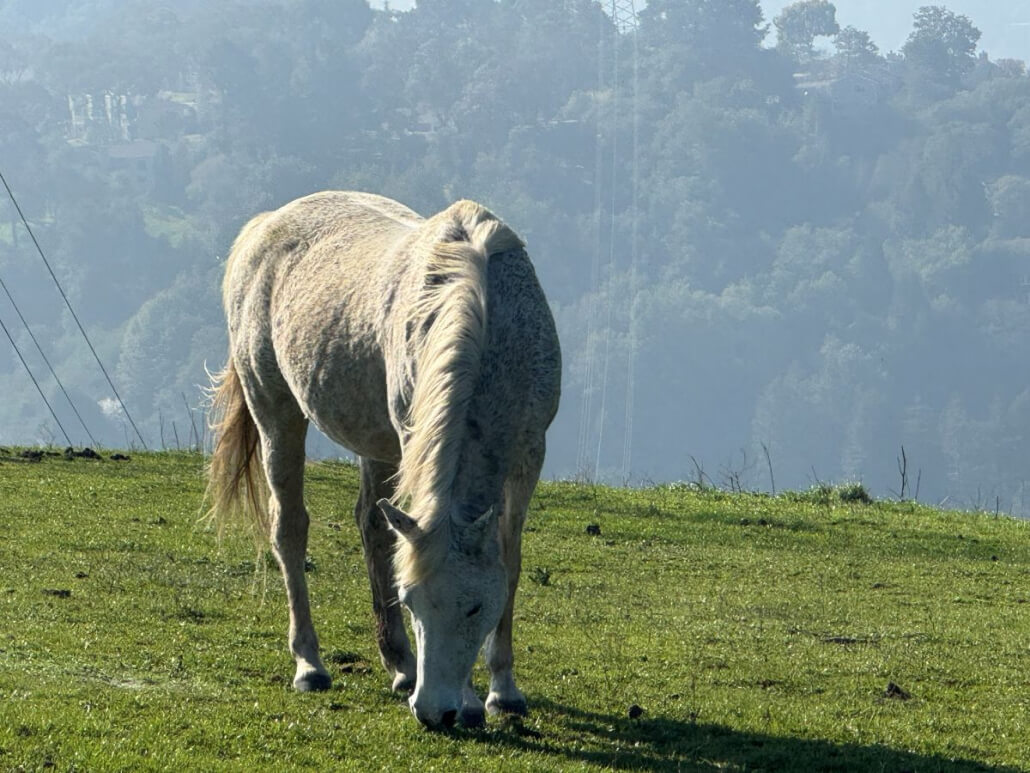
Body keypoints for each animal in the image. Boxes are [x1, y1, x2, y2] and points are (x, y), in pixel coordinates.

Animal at [206, 191, 561, 729]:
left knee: (372, 527)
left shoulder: (528, 454)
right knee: (289, 528)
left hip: (375, 443)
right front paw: (473, 697)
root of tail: (265, 226)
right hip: (275, 409)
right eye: (412, 602)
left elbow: (510, 561)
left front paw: (503, 689)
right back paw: (311, 665)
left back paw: (399, 665)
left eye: (475, 608)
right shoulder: (411, 439)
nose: (435, 711)